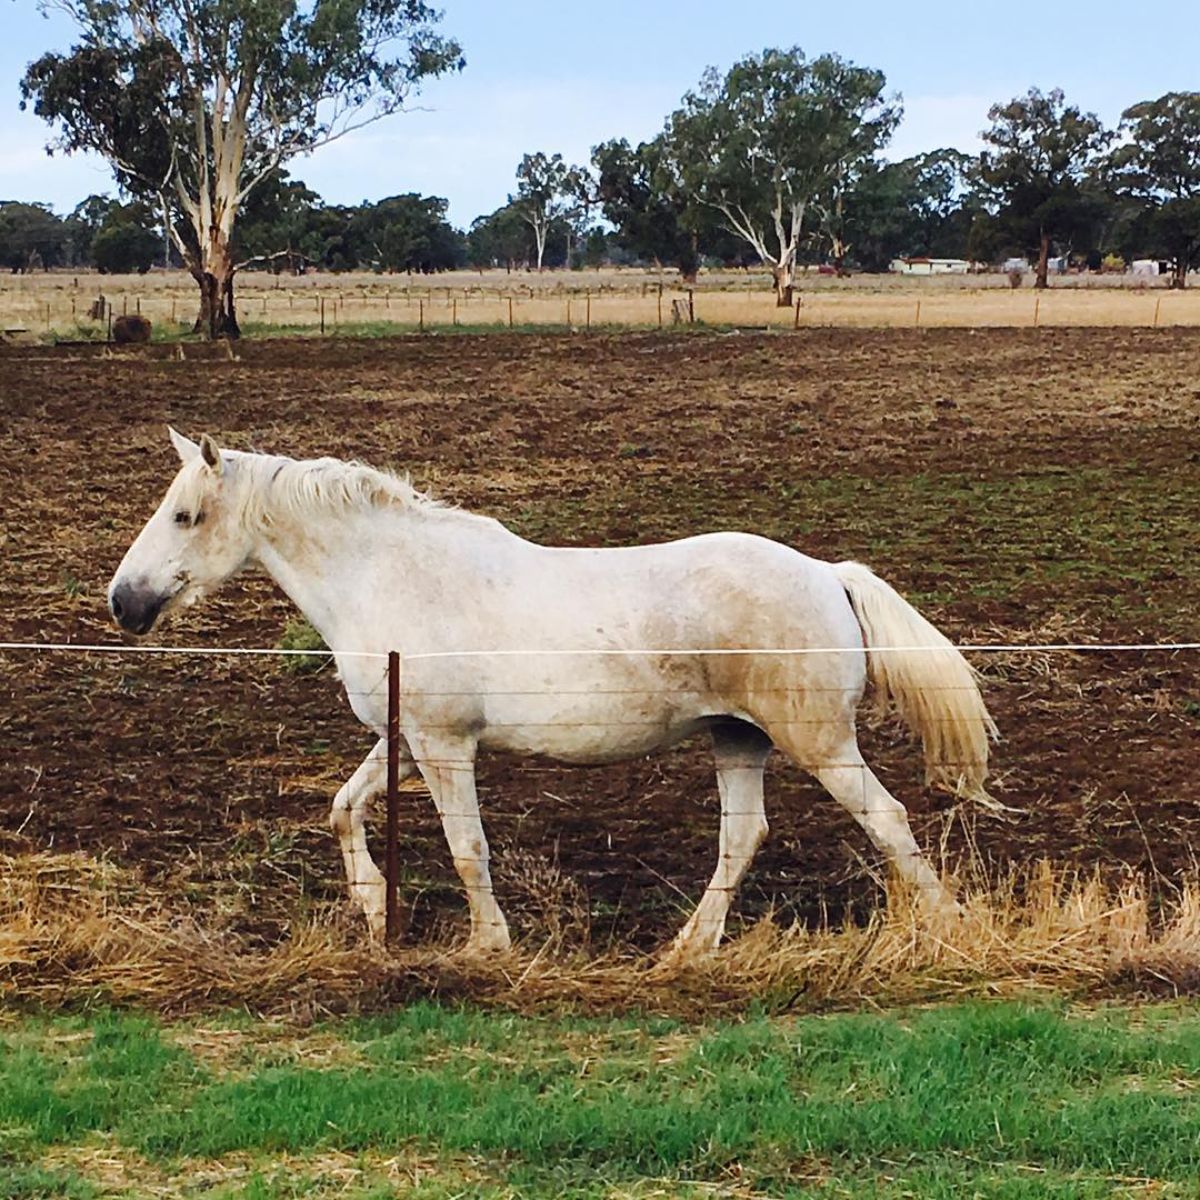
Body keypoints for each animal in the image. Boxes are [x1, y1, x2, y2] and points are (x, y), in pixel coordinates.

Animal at [110, 429, 993, 955]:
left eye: (185, 515)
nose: (123, 604)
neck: (391, 576)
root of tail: (828, 575)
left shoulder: (444, 746)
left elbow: (467, 848)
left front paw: (485, 946)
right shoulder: (403, 740)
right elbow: (342, 808)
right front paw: (375, 910)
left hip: (818, 742)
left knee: (887, 819)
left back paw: (954, 927)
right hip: (737, 740)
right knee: (744, 838)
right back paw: (686, 949)